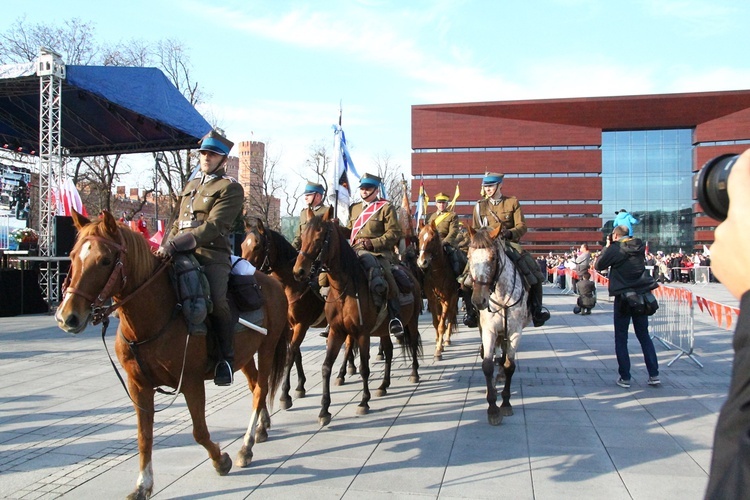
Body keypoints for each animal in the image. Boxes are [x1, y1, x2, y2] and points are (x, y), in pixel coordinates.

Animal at [55, 211, 290, 500]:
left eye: (105, 260)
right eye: (73, 255)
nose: (67, 317)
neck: (155, 314)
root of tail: (272, 282)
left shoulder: (190, 382)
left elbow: (199, 431)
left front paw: (220, 460)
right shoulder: (138, 385)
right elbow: (144, 436)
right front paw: (142, 485)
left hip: (267, 347)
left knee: (261, 389)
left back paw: (246, 447)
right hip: (243, 355)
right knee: (255, 383)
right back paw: (261, 428)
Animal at [292, 207, 424, 426]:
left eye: (319, 237)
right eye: (302, 237)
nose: (299, 271)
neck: (345, 289)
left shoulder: (362, 334)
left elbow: (364, 367)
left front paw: (363, 402)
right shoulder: (336, 332)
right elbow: (326, 367)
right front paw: (324, 410)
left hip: (411, 321)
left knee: (413, 343)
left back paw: (414, 374)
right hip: (384, 329)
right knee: (389, 351)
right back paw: (383, 385)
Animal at [414, 222, 462, 360]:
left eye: (433, 239)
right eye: (419, 238)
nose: (422, 262)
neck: (437, 273)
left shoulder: (447, 299)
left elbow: (441, 325)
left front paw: (439, 351)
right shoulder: (431, 300)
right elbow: (436, 322)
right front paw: (437, 344)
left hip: (453, 298)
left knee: (450, 316)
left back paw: (447, 339)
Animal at [468, 227, 532, 426]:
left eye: (493, 258)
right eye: (469, 256)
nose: (478, 300)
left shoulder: (515, 332)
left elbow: (510, 364)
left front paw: (505, 403)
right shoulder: (489, 330)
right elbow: (487, 365)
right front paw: (492, 408)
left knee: (504, 355)